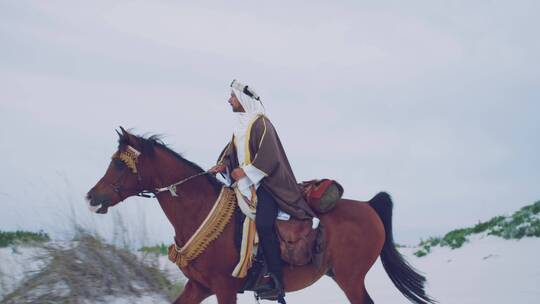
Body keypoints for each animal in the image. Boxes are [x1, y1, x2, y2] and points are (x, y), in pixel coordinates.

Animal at [87, 127, 434, 302]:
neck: (198, 210)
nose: (91, 197)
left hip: (351, 278)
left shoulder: (224, 288)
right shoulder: (198, 287)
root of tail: (368, 206)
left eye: (119, 164)